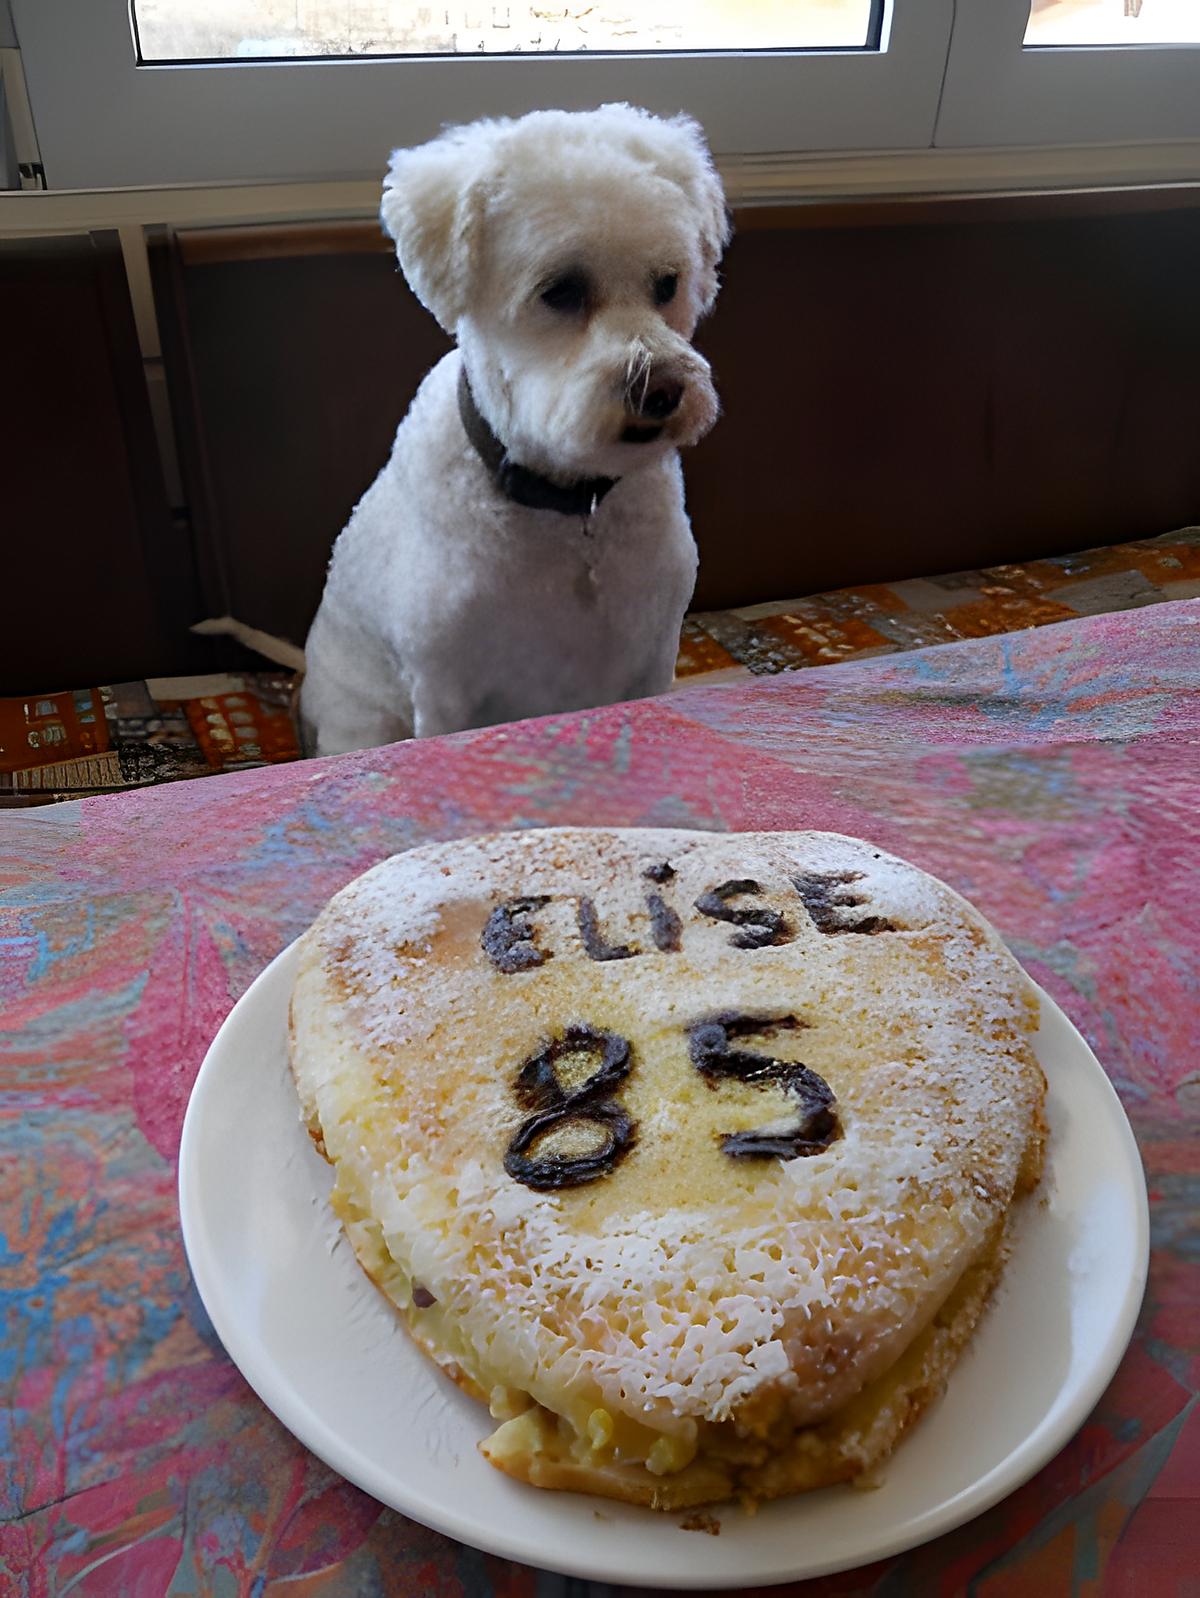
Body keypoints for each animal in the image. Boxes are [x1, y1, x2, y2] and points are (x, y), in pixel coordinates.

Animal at [300, 104, 731, 754]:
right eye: (561, 290)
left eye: (667, 283)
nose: (661, 390)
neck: (570, 511)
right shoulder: (445, 691)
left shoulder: (653, 659)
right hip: (367, 720)